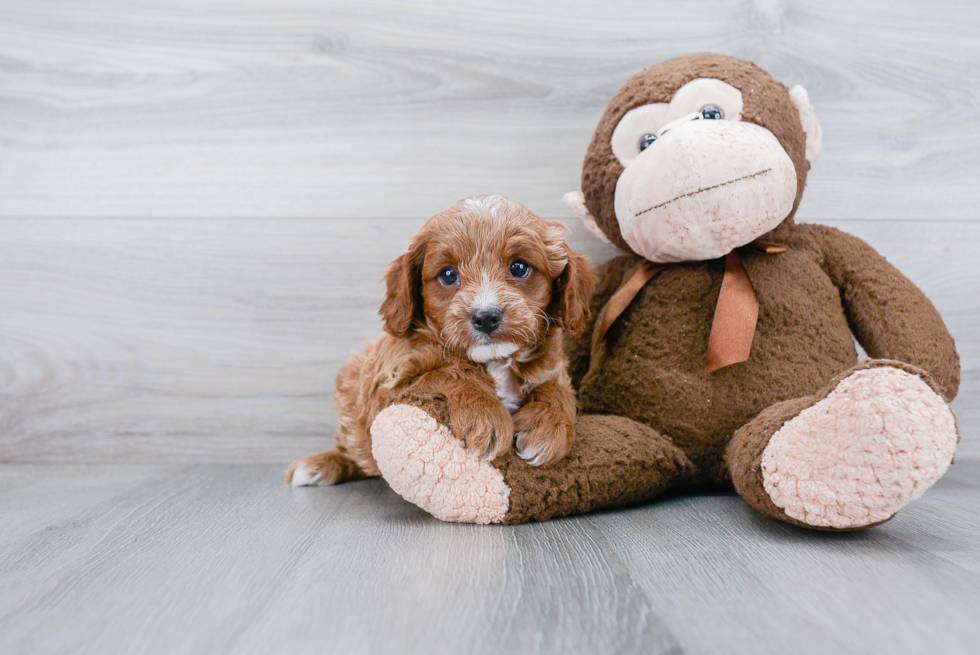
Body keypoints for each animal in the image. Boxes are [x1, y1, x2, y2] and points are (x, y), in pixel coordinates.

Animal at [286, 195, 596, 486]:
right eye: (448, 274)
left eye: (519, 267)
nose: (486, 317)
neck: (496, 361)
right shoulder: (387, 381)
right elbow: (451, 368)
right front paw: (485, 416)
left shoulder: (554, 370)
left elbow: (558, 390)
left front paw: (549, 428)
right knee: (354, 452)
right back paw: (318, 465)